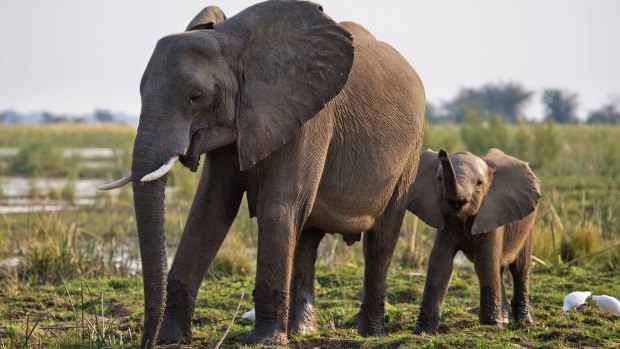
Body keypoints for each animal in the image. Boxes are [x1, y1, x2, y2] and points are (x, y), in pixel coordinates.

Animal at [100, 1, 426, 346]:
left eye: (195, 97)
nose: (146, 341)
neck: (234, 42)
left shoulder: (308, 117)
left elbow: (276, 209)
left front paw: (264, 341)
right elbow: (209, 210)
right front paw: (171, 338)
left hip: (410, 152)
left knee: (380, 241)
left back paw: (370, 333)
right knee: (307, 236)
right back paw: (301, 331)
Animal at [404, 148, 540, 334]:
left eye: (479, 183)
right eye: (439, 179)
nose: (442, 153)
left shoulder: (491, 211)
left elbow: (485, 262)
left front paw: (491, 325)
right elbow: (440, 263)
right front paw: (423, 331)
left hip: (528, 223)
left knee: (519, 267)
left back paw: (524, 322)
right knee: (499, 268)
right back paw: (505, 319)